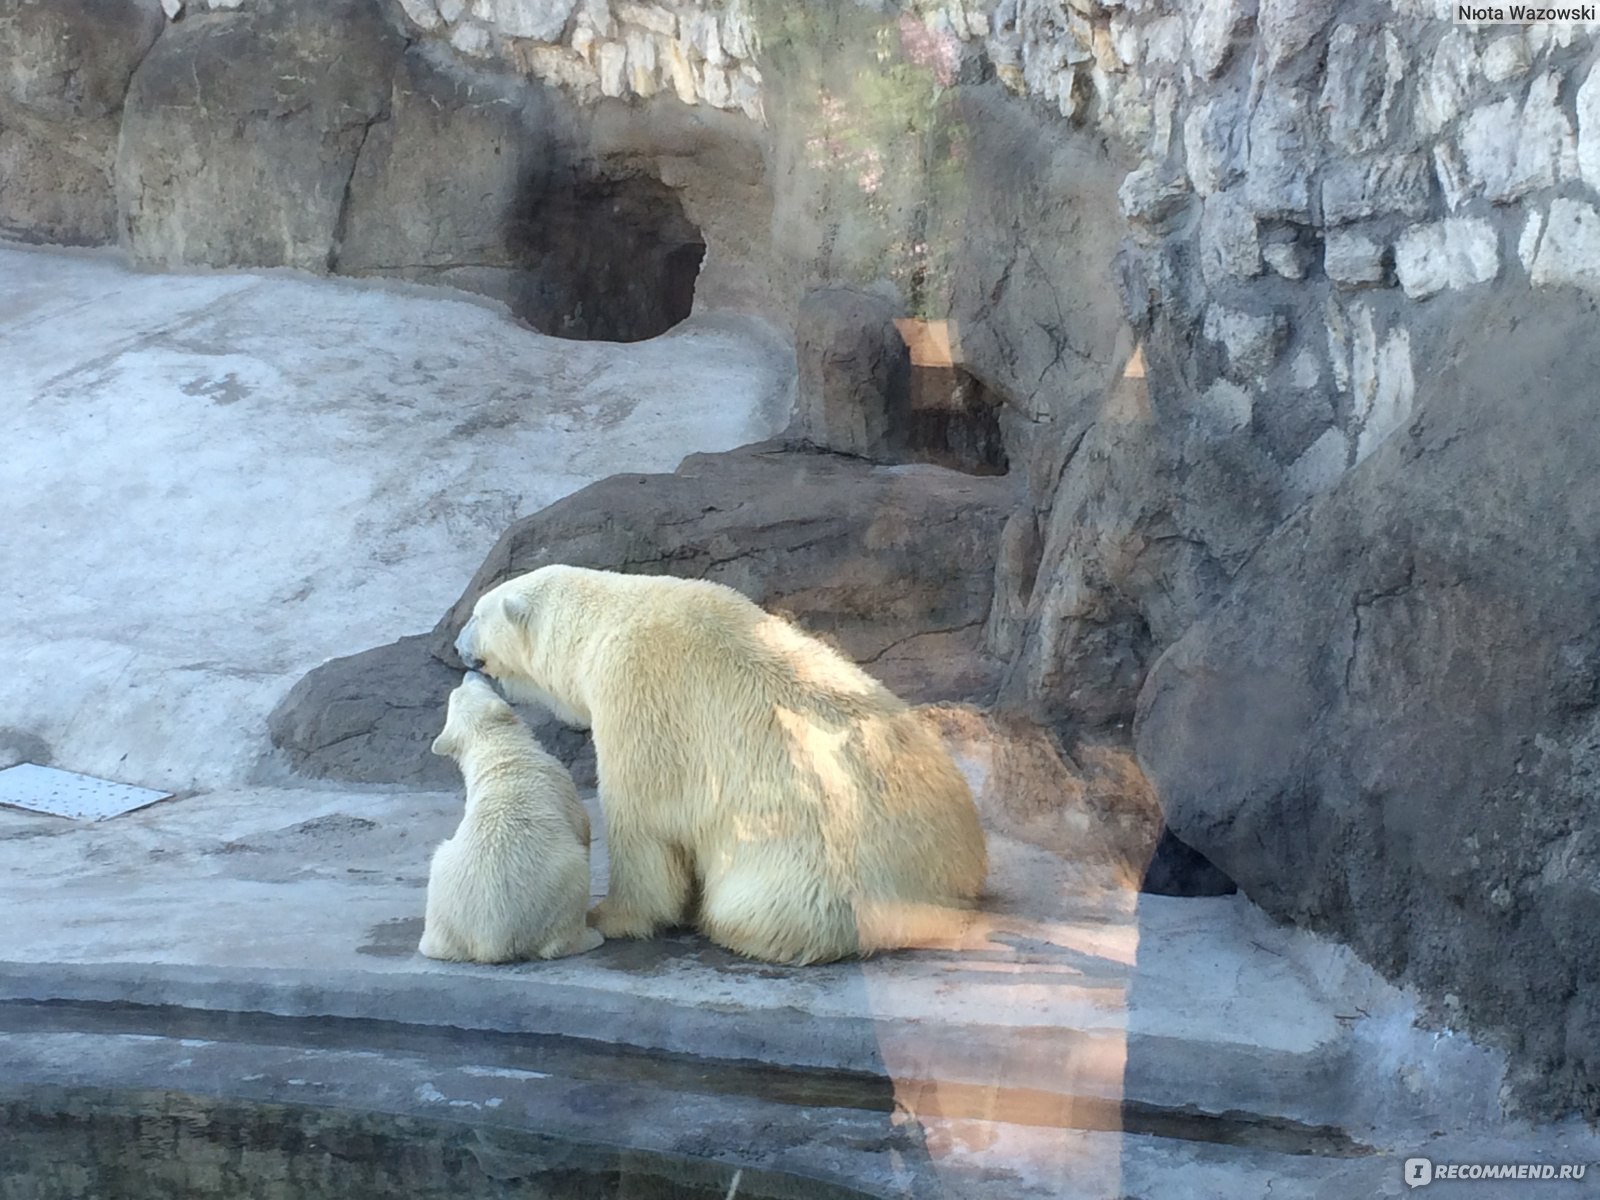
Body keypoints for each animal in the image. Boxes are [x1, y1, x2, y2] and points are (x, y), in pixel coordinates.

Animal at [419, 678, 604, 966]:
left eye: (455, 696)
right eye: (464, 691)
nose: (470, 674)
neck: (500, 753)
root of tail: (492, 942)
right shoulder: (558, 777)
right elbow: (582, 827)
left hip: (443, 893)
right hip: (558, 889)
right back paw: (591, 936)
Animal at [454, 563, 985, 966]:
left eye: (477, 613)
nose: (457, 646)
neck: (607, 619)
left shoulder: (636, 695)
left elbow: (643, 823)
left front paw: (609, 916)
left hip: (811, 873)